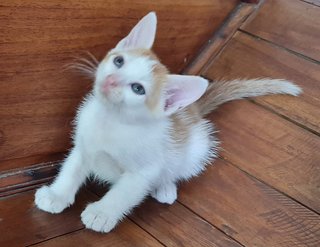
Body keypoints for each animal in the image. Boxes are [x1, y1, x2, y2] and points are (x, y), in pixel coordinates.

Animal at [33, 11, 302, 233]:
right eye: (119, 61)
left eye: (138, 89)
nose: (110, 80)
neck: (111, 121)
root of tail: (194, 111)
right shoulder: (84, 146)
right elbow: (72, 169)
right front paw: (57, 195)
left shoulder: (142, 172)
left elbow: (123, 193)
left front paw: (102, 213)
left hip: (197, 148)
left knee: (177, 168)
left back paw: (164, 187)